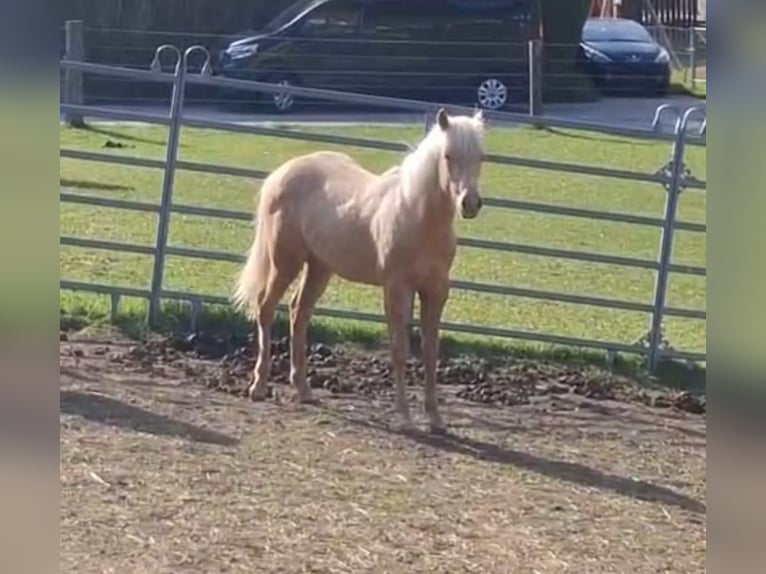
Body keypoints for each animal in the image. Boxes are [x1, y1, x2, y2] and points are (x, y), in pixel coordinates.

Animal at [232, 107, 486, 434]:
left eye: (481, 156)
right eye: (447, 155)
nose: (470, 203)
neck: (419, 218)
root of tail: (282, 172)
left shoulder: (437, 291)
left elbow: (431, 353)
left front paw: (436, 420)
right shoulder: (396, 289)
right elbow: (400, 350)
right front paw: (405, 419)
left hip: (319, 267)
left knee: (298, 312)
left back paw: (303, 390)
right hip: (285, 262)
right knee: (265, 307)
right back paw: (259, 387)